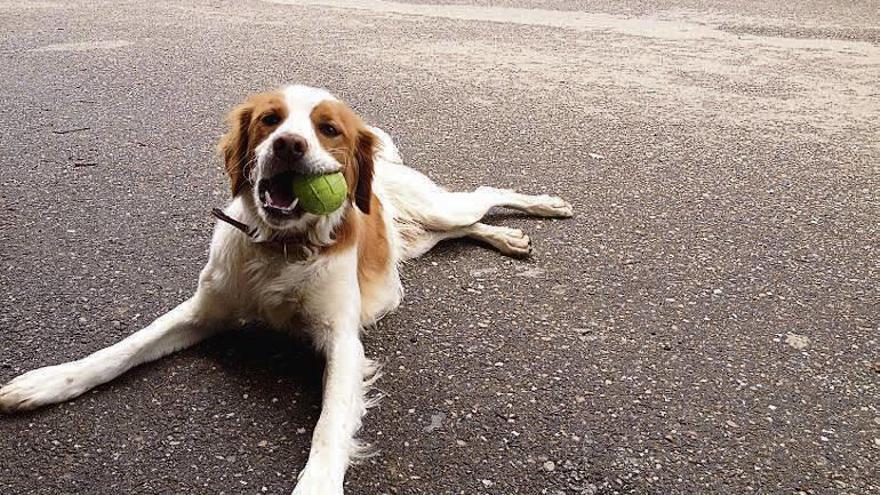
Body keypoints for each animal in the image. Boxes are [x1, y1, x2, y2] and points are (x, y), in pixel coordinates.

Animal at [0, 84, 576, 492]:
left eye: (328, 129)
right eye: (270, 120)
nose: (289, 145)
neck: (280, 249)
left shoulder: (343, 343)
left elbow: (329, 426)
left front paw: (318, 483)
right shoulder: (203, 310)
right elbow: (122, 350)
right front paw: (47, 382)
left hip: (437, 208)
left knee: (484, 194)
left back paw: (543, 205)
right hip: (421, 239)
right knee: (464, 226)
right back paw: (505, 237)